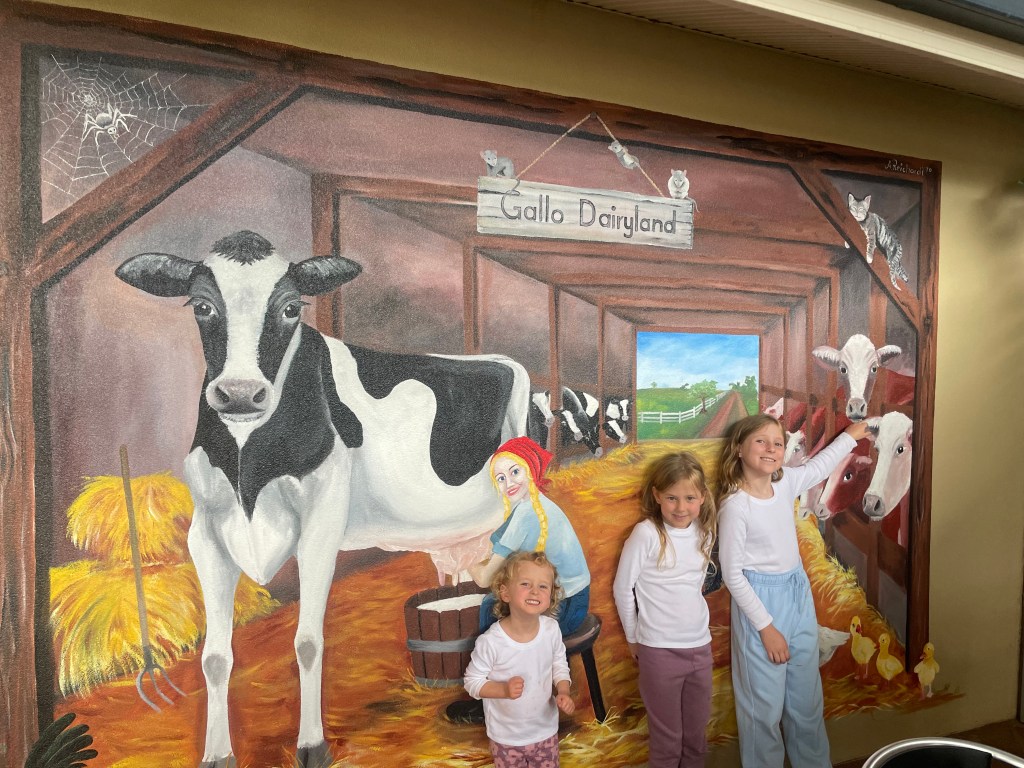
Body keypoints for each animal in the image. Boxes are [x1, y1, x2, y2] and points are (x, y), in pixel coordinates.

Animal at [116, 231, 530, 768]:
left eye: (291, 308)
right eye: (201, 305)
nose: (240, 393)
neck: (249, 464)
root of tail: (498, 359)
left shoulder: (320, 526)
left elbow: (308, 642)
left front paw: (312, 744)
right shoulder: (206, 535)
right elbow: (215, 656)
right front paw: (216, 753)